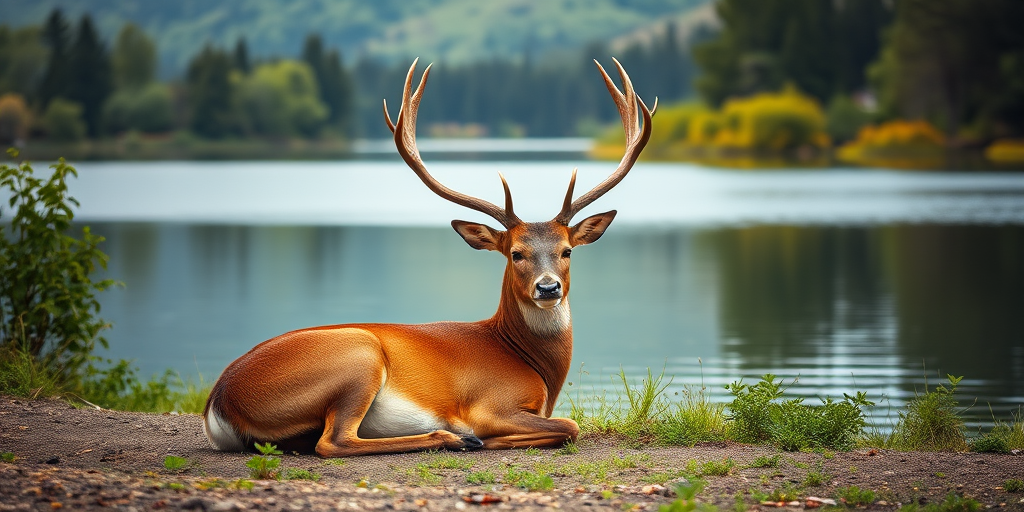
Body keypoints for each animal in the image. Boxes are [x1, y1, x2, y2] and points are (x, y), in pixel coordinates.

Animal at [202, 58, 655, 457]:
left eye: (566, 251)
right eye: (516, 253)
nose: (548, 287)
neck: (528, 360)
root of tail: (218, 405)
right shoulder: (490, 404)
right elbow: (570, 425)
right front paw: (484, 437)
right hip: (358, 356)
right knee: (333, 442)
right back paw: (454, 438)